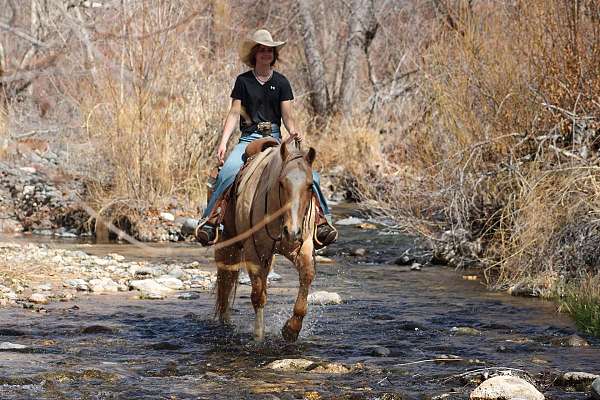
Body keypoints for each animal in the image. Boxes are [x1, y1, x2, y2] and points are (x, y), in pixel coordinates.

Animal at [216, 138, 318, 340]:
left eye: (310, 185)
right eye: (281, 183)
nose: (292, 232)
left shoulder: (300, 247)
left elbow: (307, 275)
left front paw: (291, 329)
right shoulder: (254, 252)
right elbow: (257, 295)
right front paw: (258, 336)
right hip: (229, 242)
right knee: (226, 280)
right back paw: (225, 321)